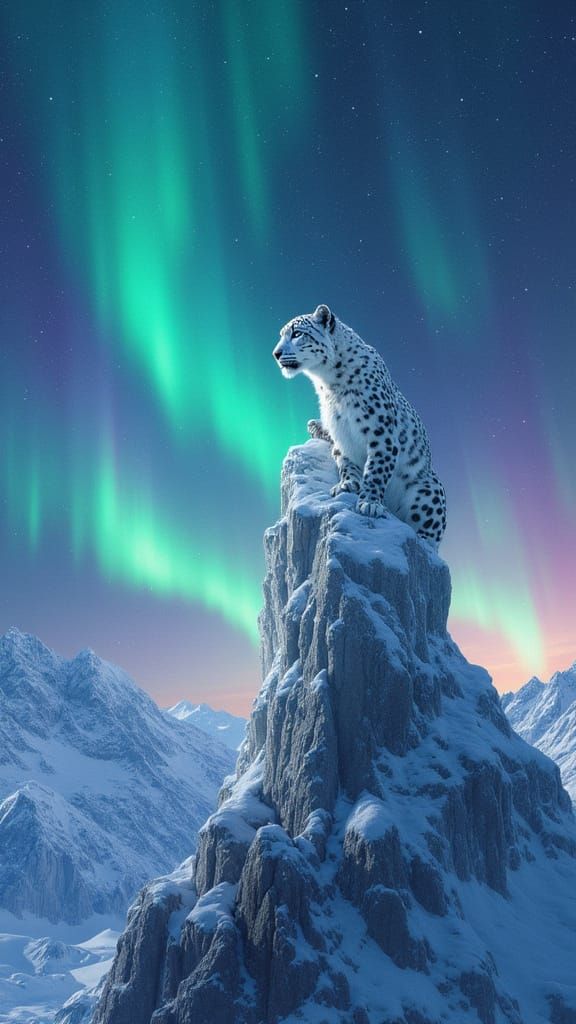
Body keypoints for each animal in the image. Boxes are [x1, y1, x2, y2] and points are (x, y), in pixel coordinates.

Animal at [273, 304, 446, 546]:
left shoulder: (381, 433)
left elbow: (376, 470)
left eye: (297, 333)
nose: (276, 353)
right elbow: (346, 463)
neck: (330, 384)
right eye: (281, 335)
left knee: (431, 535)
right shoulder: (341, 435)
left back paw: (422, 540)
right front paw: (348, 484)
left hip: (430, 491)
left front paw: (370, 503)